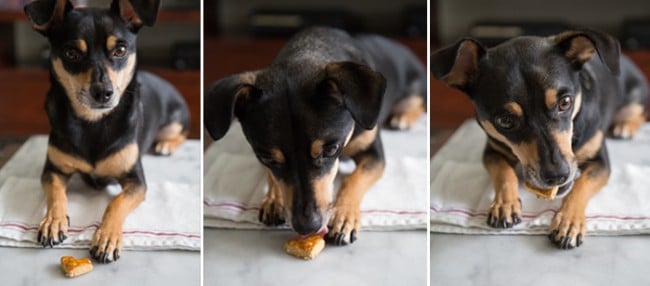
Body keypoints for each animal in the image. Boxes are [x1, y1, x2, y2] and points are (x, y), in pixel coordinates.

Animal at [25, 0, 187, 262]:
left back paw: (166, 145)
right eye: (71, 53)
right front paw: (52, 222)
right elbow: (56, 194)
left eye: (120, 50)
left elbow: (116, 203)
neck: (93, 122)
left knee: (180, 133)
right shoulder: (53, 170)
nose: (103, 92)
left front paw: (107, 238)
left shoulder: (136, 181)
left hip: (174, 121)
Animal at [204, 26, 426, 245]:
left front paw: (343, 218)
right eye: (267, 158)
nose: (307, 227)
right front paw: (273, 200)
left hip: (415, 87)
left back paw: (403, 117)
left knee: (418, 103)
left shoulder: (374, 154)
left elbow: (353, 179)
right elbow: (272, 176)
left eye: (331, 150)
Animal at [430, 29, 648, 248]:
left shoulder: (600, 162)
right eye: (505, 121)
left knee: (640, 112)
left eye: (565, 102)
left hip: (635, 98)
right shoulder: (492, 150)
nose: (558, 175)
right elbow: (503, 172)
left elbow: (580, 186)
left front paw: (568, 222)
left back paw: (625, 126)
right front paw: (504, 204)